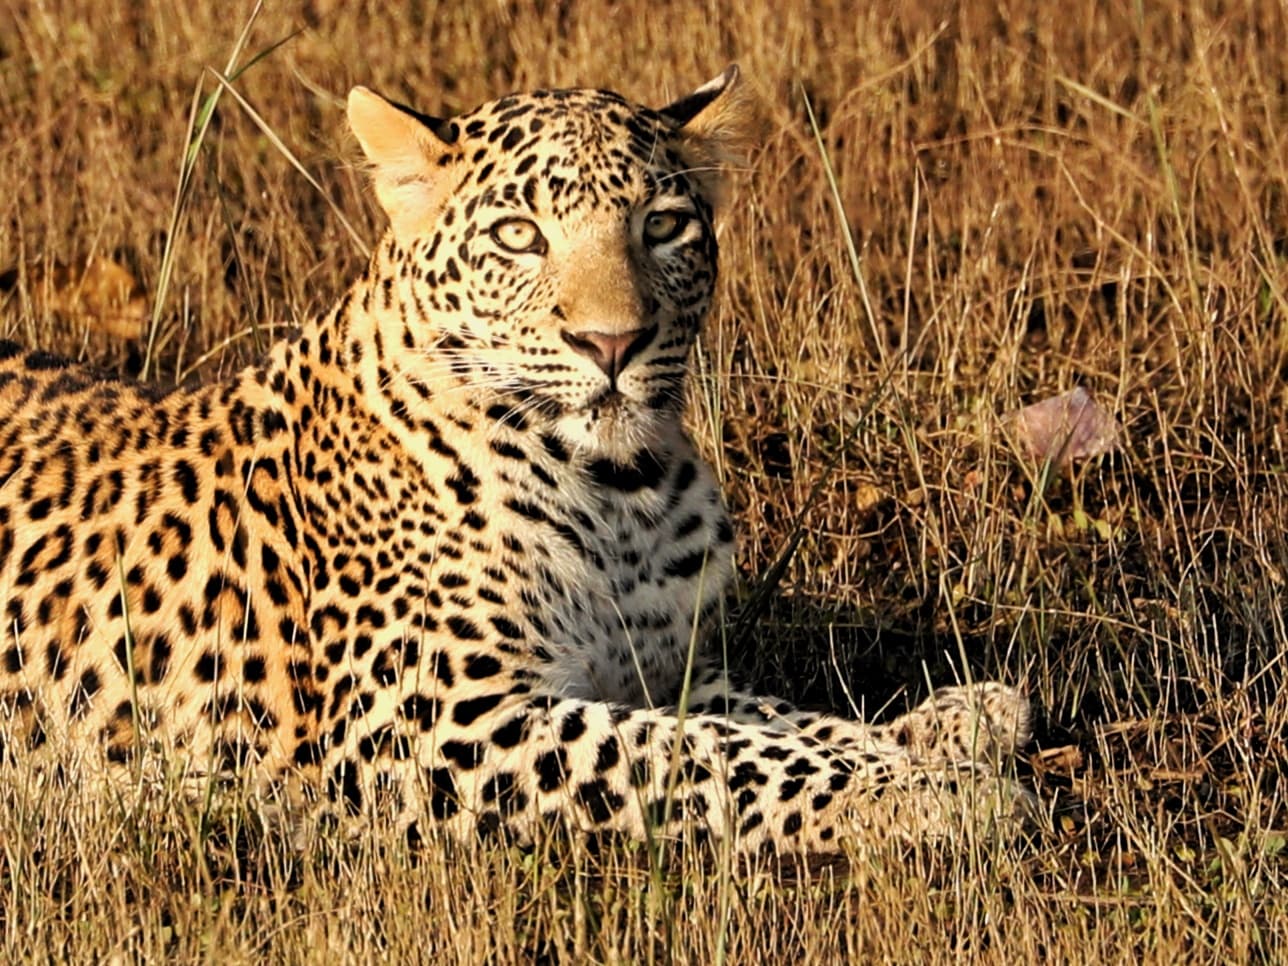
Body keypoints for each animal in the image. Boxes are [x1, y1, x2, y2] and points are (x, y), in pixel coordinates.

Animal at [0, 66, 1030, 855]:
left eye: (663, 227)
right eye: (517, 235)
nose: (611, 344)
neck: (621, 497)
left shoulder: (668, 670)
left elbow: (778, 718)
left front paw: (957, 719)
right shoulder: (433, 726)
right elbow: (701, 755)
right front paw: (933, 787)